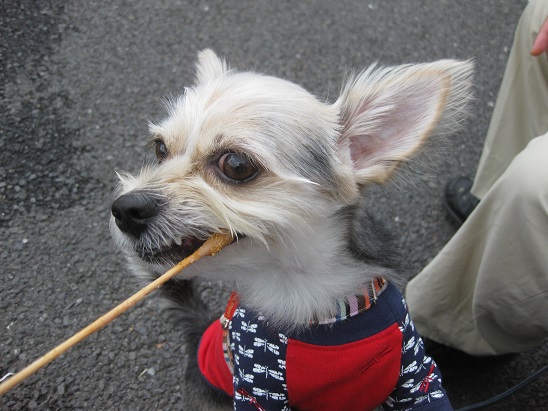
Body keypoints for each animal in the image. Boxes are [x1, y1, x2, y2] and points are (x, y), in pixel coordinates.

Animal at [110, 50, 470, 410]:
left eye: (236, 165)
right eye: (160, 149)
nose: (124, 209)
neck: (309, 295)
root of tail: (199, 331)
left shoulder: (416, 376)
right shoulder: (258, 390)